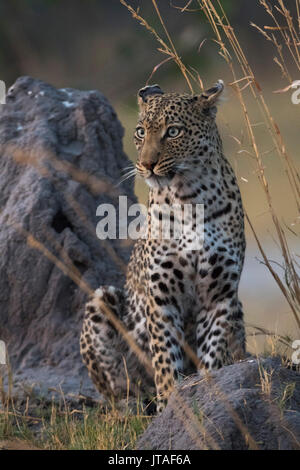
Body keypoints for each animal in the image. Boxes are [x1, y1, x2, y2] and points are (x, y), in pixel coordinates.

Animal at [79, 81, 246, 412]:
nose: (147, 164)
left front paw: (208, 391)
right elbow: (165, 356)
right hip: (101, 301)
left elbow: (212, 351)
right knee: (118, 388)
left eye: (173, 132)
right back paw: (131, 406)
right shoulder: (161, 298)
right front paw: (171, 400)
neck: (190, 196)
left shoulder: (220, 297)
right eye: (141, 131)